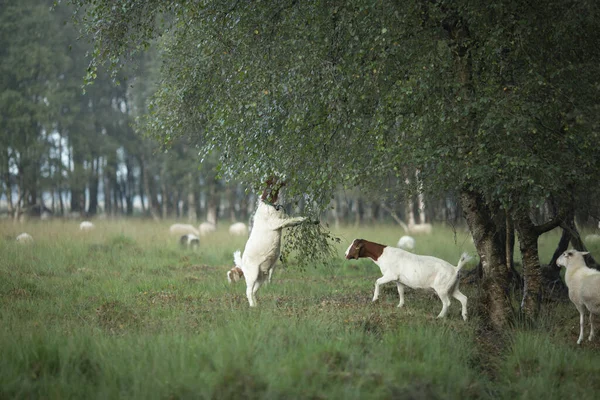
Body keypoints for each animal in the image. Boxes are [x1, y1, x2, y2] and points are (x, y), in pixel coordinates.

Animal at [237, 177, 308, 306]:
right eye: (275, 179)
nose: (286, 178)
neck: (269, 204)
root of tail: (242, 264)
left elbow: (289, 220)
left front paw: (302, 220)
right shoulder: (275, 222)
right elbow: (288, 220)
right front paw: (301, 219)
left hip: (261, 278)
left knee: (254, 291)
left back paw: (256, 305)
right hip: (252, 275)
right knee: (248, 291)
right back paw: (252, 305)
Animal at [344, 239, 472, 320]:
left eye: (355, 246)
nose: (345, 254)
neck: (382, 255)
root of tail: (455, 269)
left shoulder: (391, 275)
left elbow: (377, 281)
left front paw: (375, 298)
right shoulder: (399, 280)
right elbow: (400, 291)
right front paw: (400, 305)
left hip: (442, 288)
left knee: (447, 302)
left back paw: (440, 316)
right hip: (453, 287)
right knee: (464, 298)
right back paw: (465, 316)